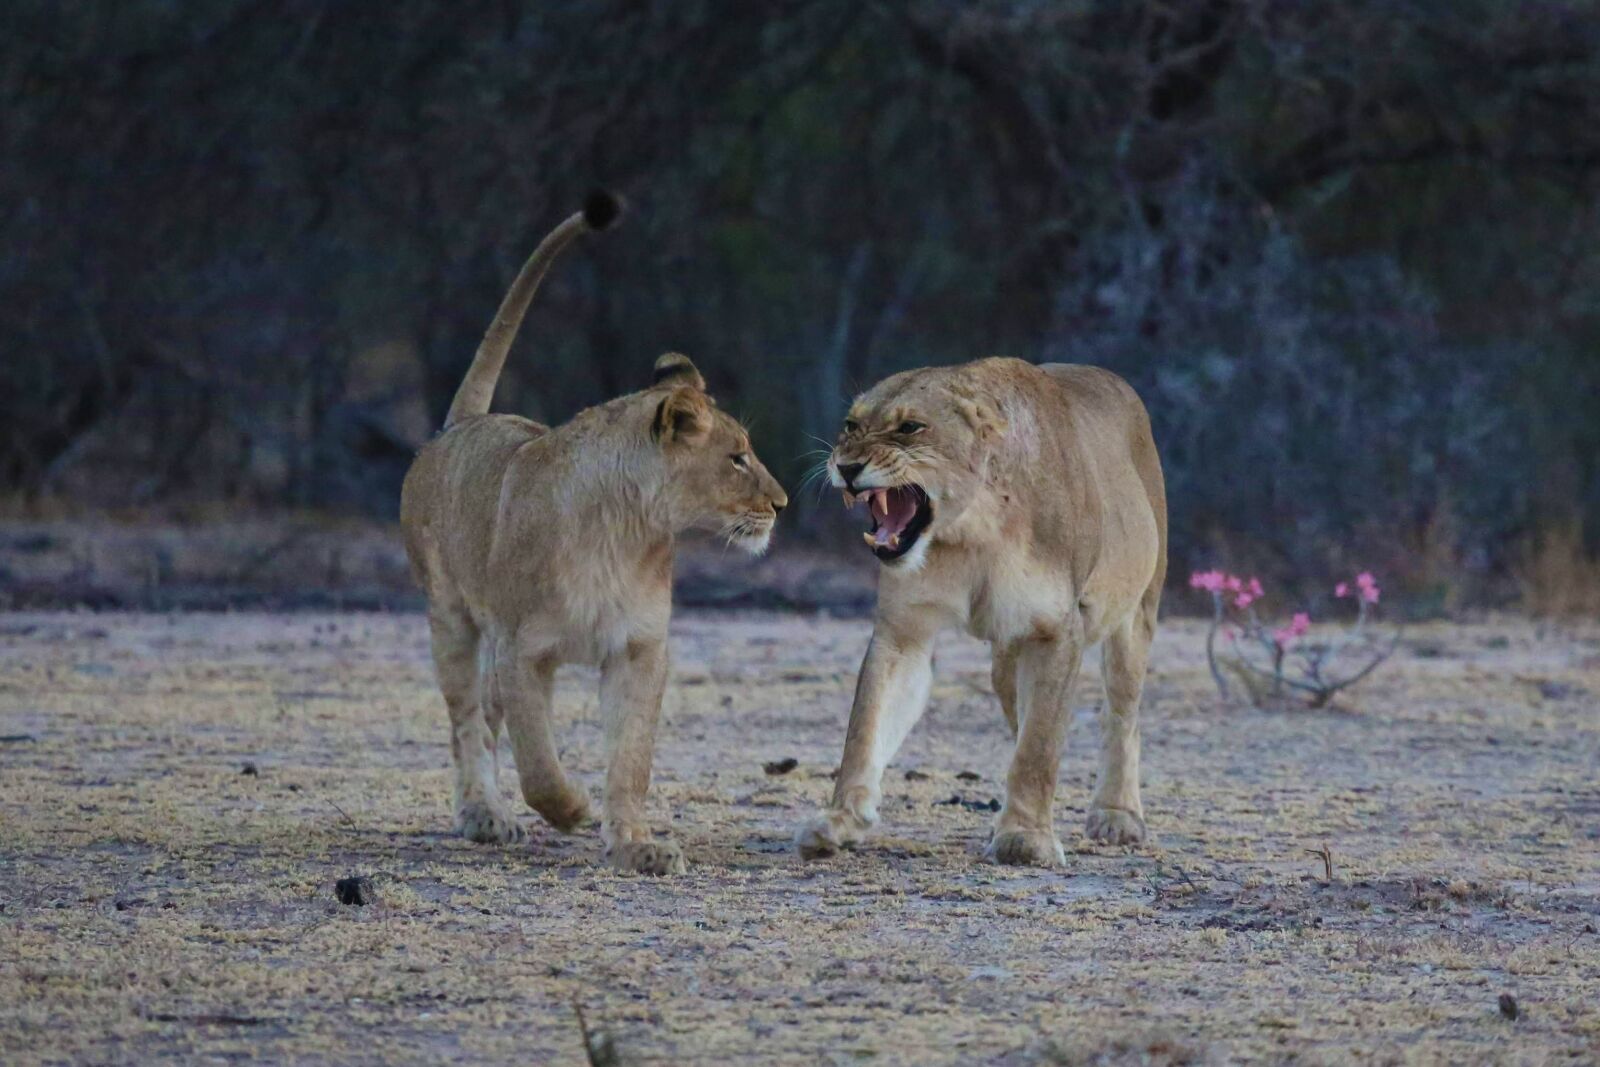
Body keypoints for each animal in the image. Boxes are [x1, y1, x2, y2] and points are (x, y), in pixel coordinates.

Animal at [400, 194, 787, 876]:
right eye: (738, 457)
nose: (781, 502)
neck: (624, 535)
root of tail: (461, 424)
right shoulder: (521, 651)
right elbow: (537, 761)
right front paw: (573, 809)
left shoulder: (639, 649)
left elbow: (631, 759)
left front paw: (637, 845)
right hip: (451, 620)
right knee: (467, 721)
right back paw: (483, 815)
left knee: (488, 721)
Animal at [796, 358, 1164, 870]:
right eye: (851, 425)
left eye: (910, 428)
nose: (846, 467)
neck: (971, 531)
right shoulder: (903, 631)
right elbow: (866, 729)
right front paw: (840, 821)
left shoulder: (1056, 632)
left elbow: (1039, 746)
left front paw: (1026, 838)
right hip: (1006, 659)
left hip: (1135, 615)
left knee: (1122, 715)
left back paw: (1117, 815)